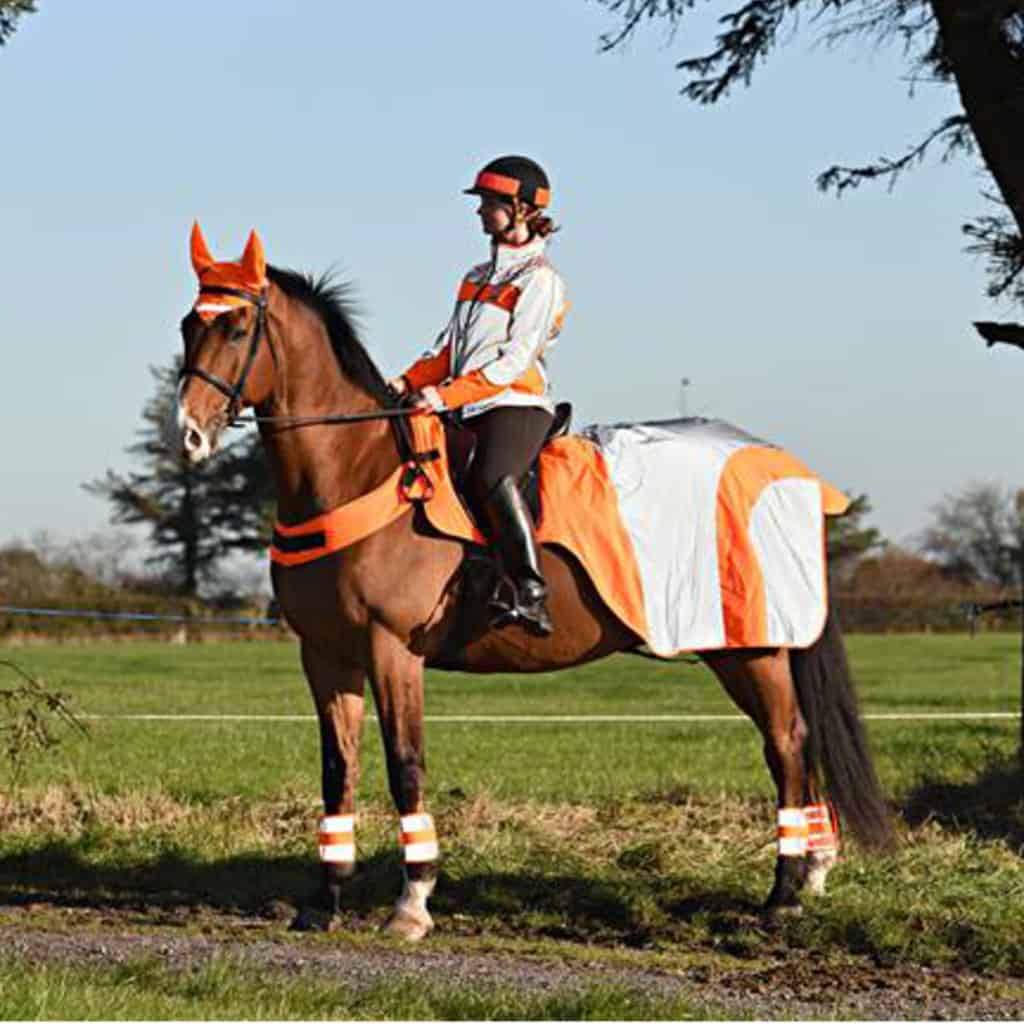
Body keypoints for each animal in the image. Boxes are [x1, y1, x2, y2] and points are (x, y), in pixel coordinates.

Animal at [173, 226, 893, 941]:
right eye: (188, 324)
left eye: (237, 327)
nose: (189, 434)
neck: (358, 470)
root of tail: (782, 465)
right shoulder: (325, 655)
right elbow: (337, 768)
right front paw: (324, 901)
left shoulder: (392, 651)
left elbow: (405, 764)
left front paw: (414, 902)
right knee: (797, 743)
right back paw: (813, 871)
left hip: (750, 648)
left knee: (786, 744)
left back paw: (783, 894)